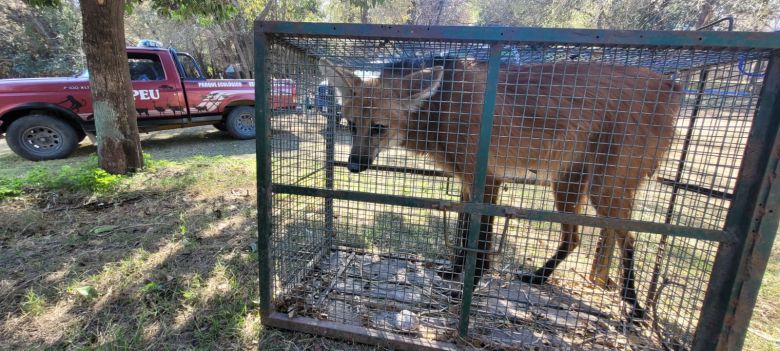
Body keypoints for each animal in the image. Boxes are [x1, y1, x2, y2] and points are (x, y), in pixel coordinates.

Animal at [320, 57, 680, 320]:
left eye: (378, 128)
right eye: (352, 125)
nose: (353, 166)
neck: (440, 108)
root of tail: (671, 84)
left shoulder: (487, 180)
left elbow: (480, 242)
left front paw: (469, 285)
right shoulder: (467, 182)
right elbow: (463, 235)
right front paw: (454, 272)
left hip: (603, 188)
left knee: (628, 239)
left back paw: (634, 305)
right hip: (567, 183)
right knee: (574, 237)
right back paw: (539, 277)